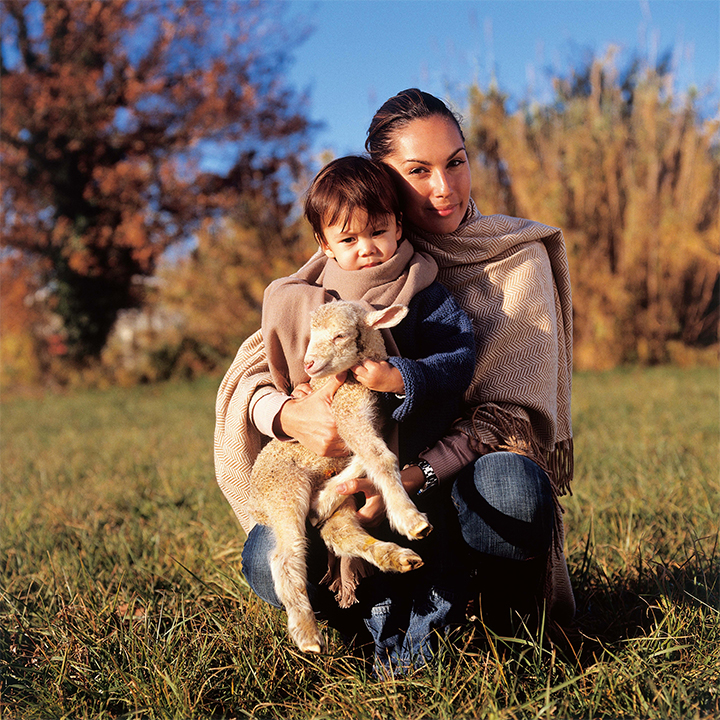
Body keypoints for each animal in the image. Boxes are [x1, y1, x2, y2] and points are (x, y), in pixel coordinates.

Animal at [250, 298, 434, 652]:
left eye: (339, 335)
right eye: (311, 334)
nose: (308, 364)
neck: (352, 382)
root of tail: (256, 501)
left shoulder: (369, 420)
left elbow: (371, 458)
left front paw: (323, 498)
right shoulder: (345, 413)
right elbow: (380, 457)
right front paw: (410, 518)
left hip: (321, 501)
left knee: (340, 533)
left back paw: (394, 557)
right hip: (284, 488)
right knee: (285, 556)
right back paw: (308, 634)